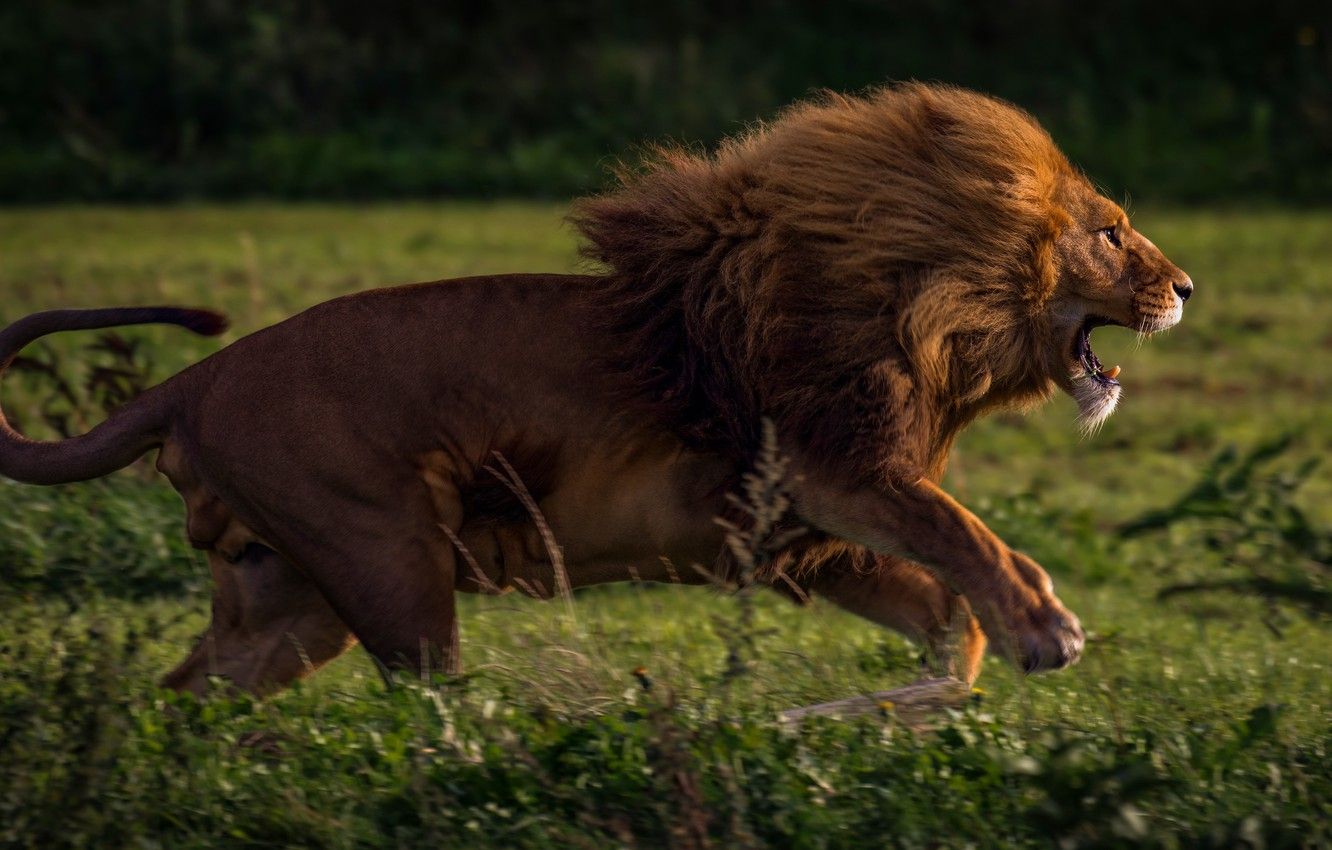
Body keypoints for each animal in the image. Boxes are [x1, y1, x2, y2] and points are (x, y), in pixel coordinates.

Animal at [0, 83, 1192, 695]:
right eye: (1112, 233)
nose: (1183, 286)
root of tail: (195, 376)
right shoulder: (834, 470)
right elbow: (971, 535)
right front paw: (1047, 630)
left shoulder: (799, 533)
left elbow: (946, 619)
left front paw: (870, 717)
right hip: (387, 558)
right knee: (427, 704)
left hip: (286, 594)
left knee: (188, 693)